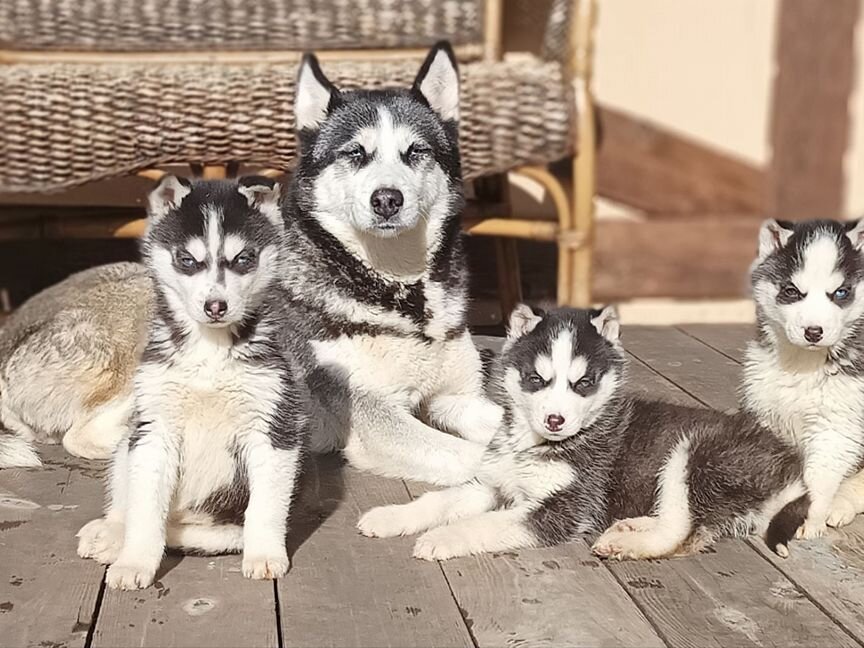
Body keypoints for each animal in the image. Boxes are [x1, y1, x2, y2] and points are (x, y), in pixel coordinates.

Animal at [76, 175, 308, 588]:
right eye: (187, 260)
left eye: (244, 258)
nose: (215, 306)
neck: (209, 352)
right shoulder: (154, 431)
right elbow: (144, 510)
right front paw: (134, 561)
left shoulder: (275, 428)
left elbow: (264, 508)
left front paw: (265, 555)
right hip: (127, 443)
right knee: (128, 501)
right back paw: (111, 532)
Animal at [740, 218, 864, 536]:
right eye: (792, 291)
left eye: (841, 293)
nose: (813, 332)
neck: (803, 364)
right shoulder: (766, 412)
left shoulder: (837, 427)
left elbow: (819, 479)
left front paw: (806, 519)